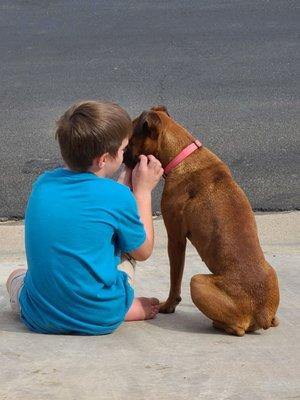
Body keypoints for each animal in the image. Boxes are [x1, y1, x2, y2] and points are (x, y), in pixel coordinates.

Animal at [123, 105, 278, 334]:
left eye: (131, 138)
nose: (122, 154)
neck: (183, 155)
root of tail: (262, 313)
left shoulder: (176, 239)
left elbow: (175, 278)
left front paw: (168, 306)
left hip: (196, 282)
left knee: (237, 328)